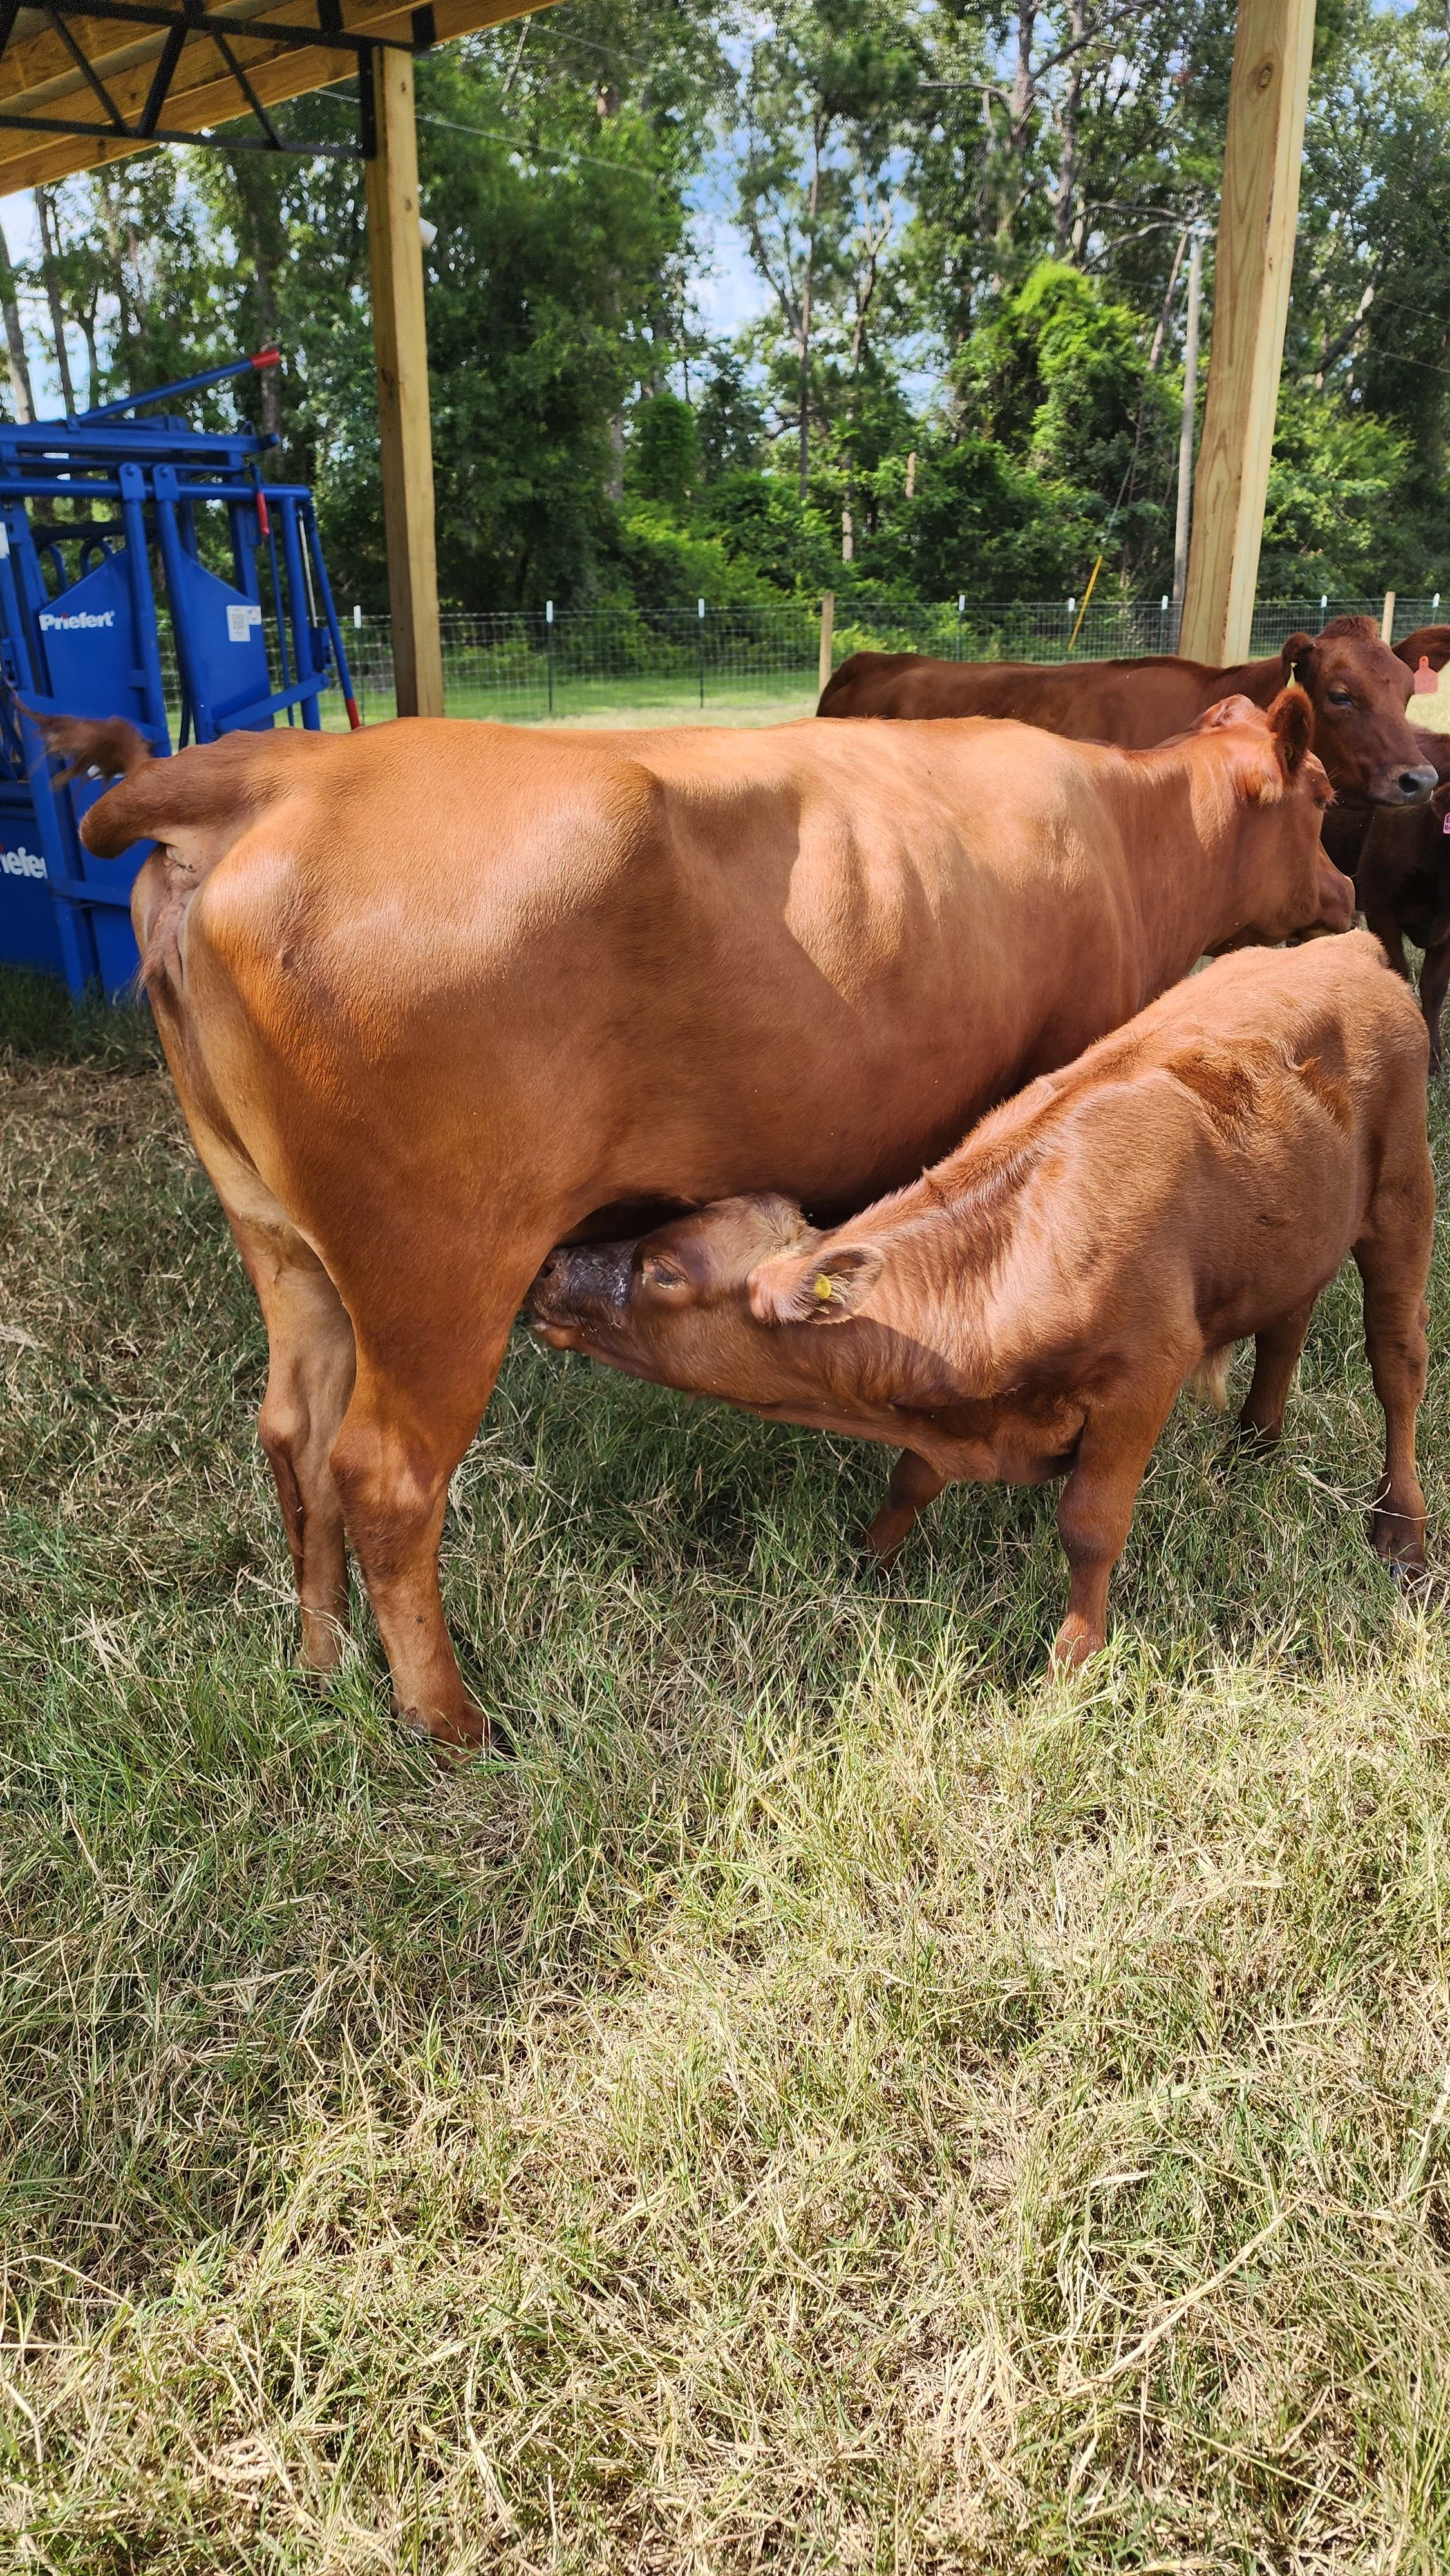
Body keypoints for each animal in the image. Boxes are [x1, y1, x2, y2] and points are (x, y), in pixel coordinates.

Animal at [530, 932, 1432, 1668]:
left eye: (661, 1270)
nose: (550, 1269)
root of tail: (1345, 946)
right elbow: (908, 1481)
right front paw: (866, 1560)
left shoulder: (1142, 1376)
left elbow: (1089, 1524)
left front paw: (1074, 1655)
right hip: (1296, 1225)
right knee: (1287, 1322)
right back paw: (1253, 1442)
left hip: (1401, 1200)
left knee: (1396, 1366)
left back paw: (1401, 1531)